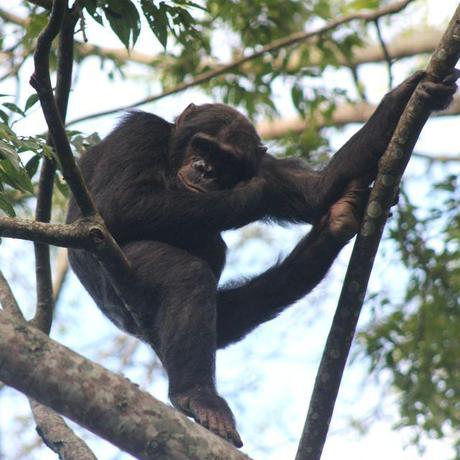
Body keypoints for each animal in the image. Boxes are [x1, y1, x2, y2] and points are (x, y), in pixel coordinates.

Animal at [66, 71, 458, 446]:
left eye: (226, 160)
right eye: (202, 145)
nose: (205, 169)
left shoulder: (263, 163)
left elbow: (315, 190)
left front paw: (406, 95)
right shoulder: (138, 133)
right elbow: (120, 202)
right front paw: (258, 191)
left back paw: (336, 223)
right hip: (119, 279)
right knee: (186, 275)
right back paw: (197, 396)